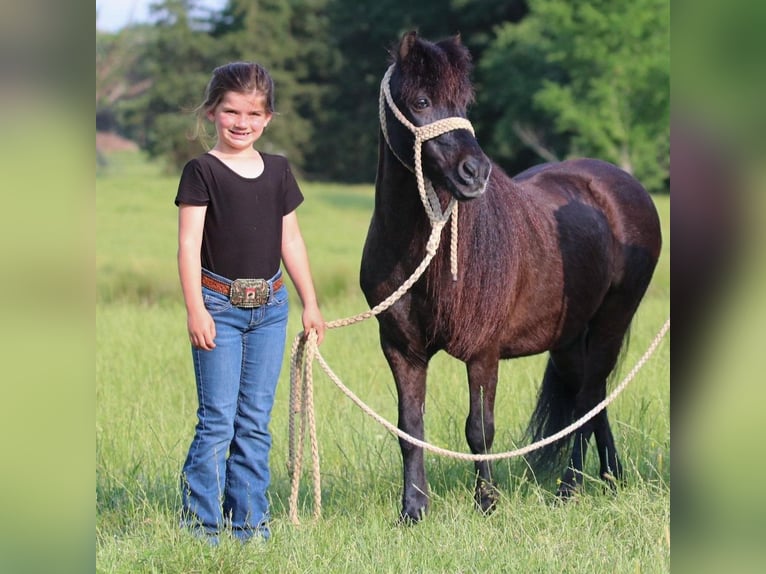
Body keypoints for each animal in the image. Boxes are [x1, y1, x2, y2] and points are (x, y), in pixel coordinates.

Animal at [364, 32, 664, 528]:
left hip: (612, 321)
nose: (475, 173)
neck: (423, 252)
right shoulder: (401, 350)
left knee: (587, 399)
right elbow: (410, 429)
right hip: (568, 340)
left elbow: (479, 430)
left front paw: (487, 503)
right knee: (592, 398)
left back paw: (569, 488)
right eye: (422, 100)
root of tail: (624, 184)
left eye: (464, 101)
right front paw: (413, 510)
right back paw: (611, 478)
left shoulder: (483, 351)